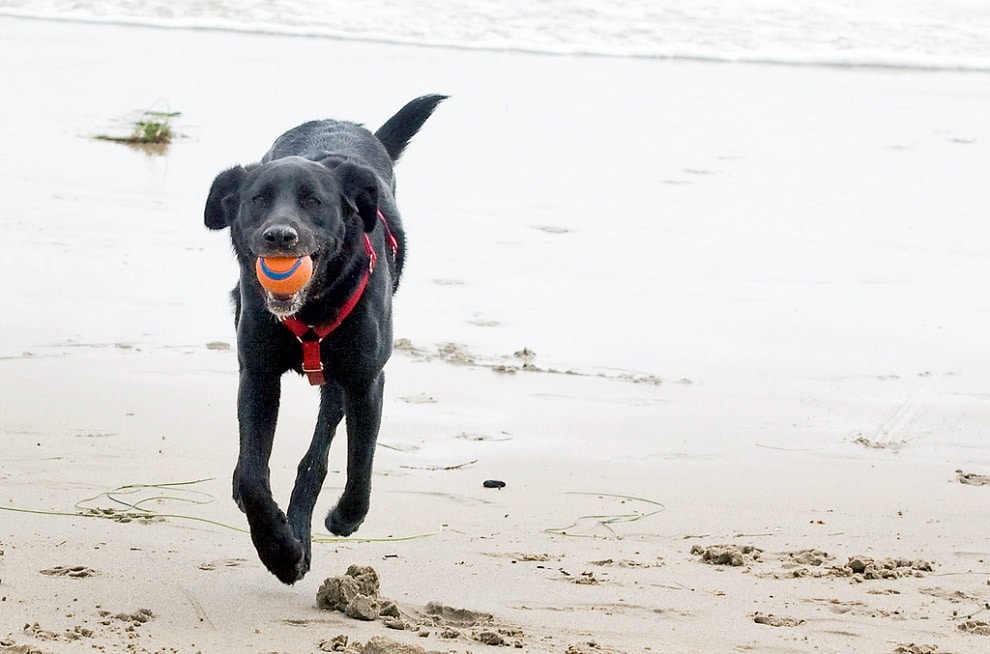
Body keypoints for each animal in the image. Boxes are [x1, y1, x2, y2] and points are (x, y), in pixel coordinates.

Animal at [205, 92, 446, 584]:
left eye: (313, 200)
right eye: (257, 200)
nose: (279, 236)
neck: (312, 309)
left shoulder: (365, 380)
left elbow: (359, 465)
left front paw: (343, 519)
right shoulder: (258, 376)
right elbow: (255, 479)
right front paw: (278, 551)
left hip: (337, 382)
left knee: (318, 453)